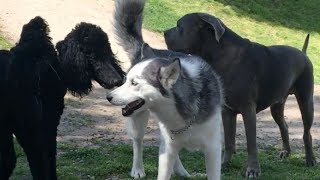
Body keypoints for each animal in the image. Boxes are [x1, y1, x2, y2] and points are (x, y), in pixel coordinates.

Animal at [165, 13, 316, 178]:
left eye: (179, 26)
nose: (165, 32)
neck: (222, 54)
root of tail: (303, 53)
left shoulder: (247, 109)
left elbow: (251, 143)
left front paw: (253, 170)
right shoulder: (227, 112)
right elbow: (229, 141)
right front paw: (224, 164)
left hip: (306, 101)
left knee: (307, 133)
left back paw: (310, 159)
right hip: (277, 106)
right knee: (284, 126)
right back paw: (286, 152)